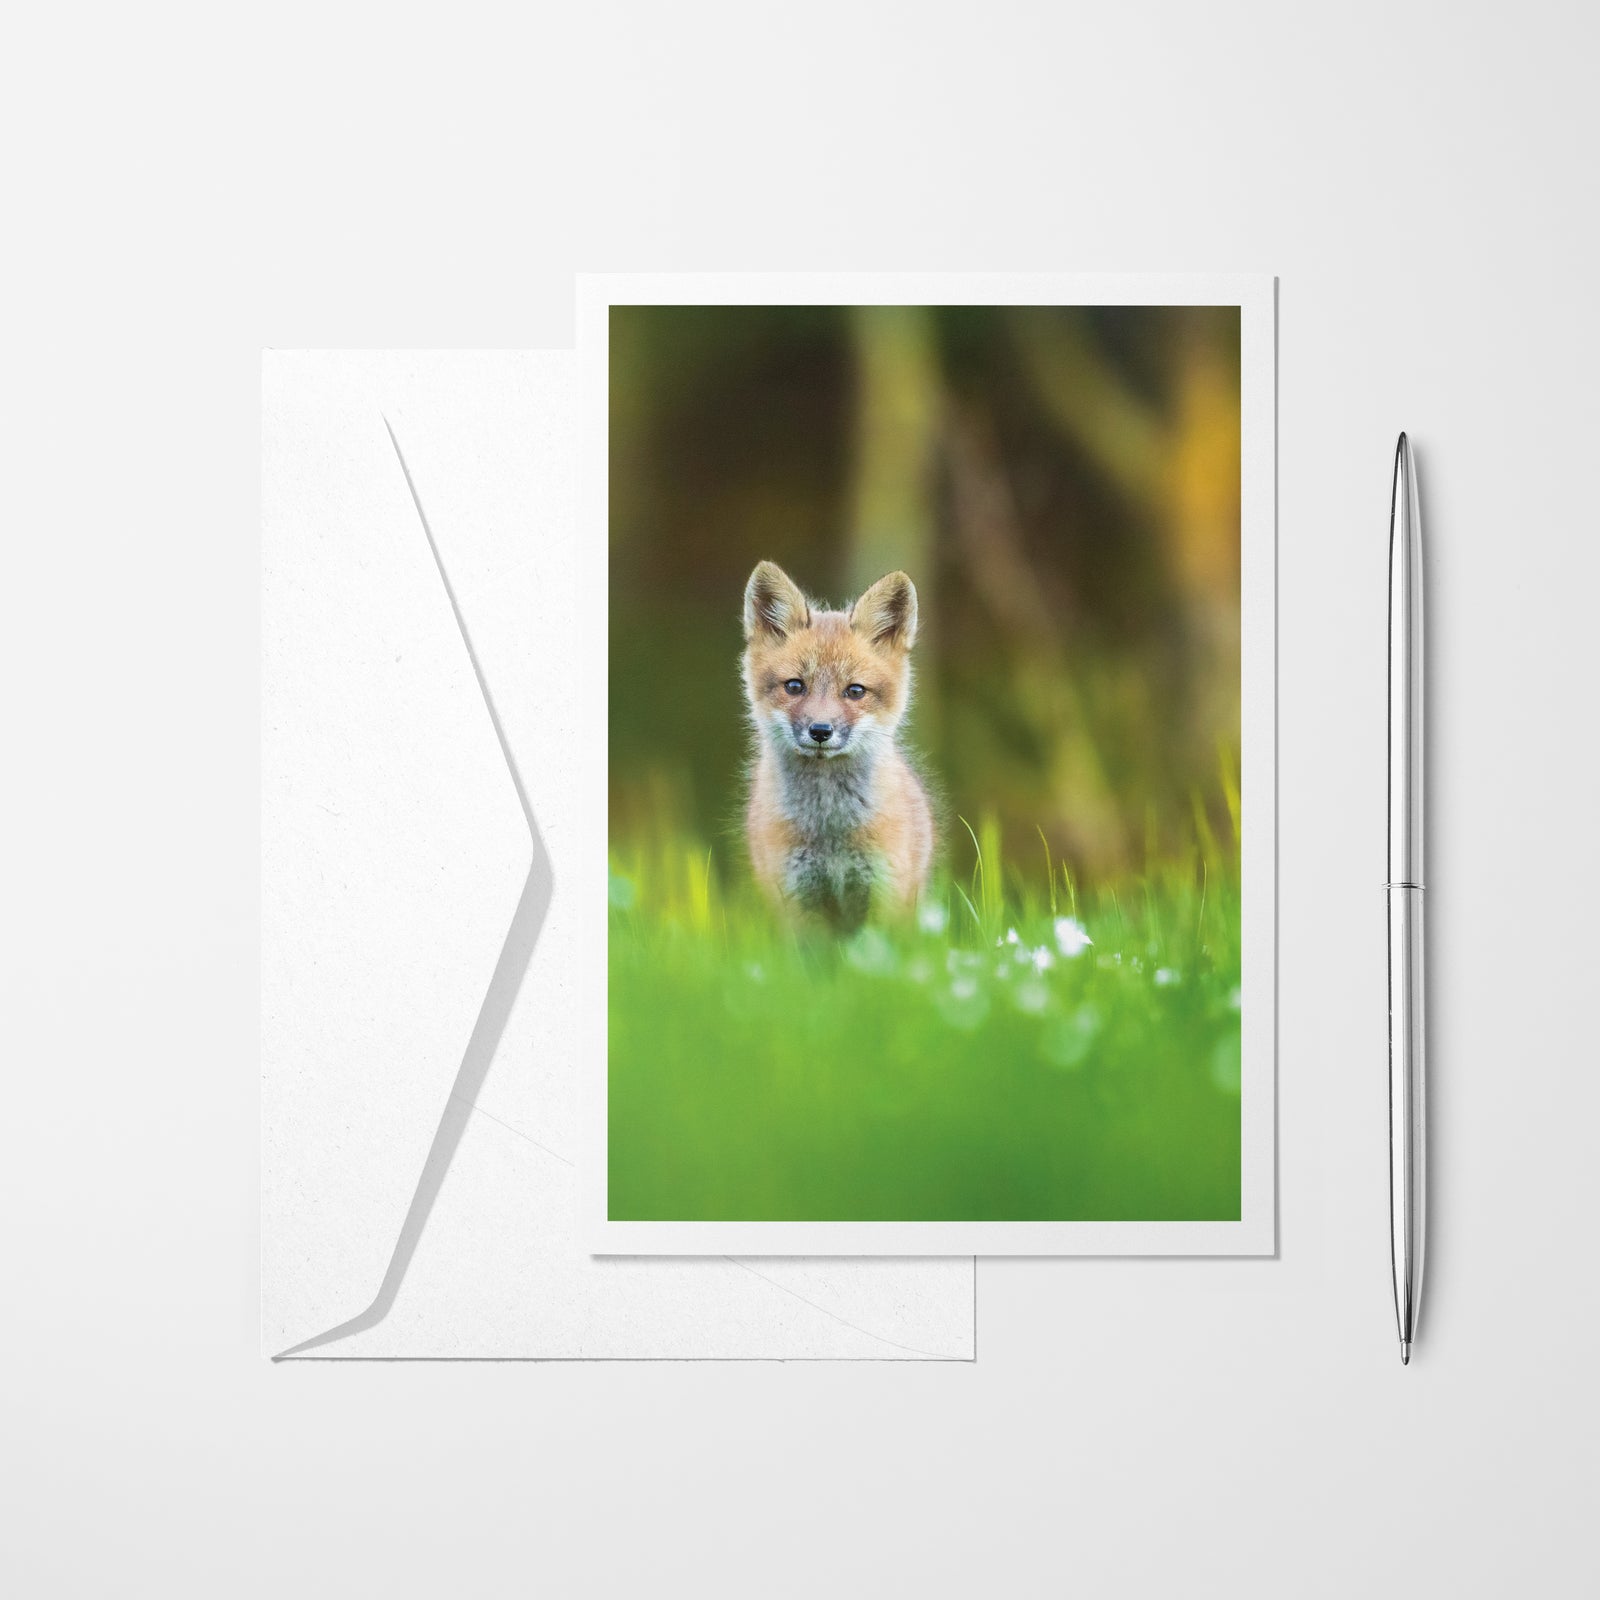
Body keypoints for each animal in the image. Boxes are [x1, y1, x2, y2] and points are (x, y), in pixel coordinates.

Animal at [741, 560, 934, 931]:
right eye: (795, 686)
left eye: (855, 691)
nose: (820, 730)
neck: (829, 829)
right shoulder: (797, 897)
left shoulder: (882, 890)